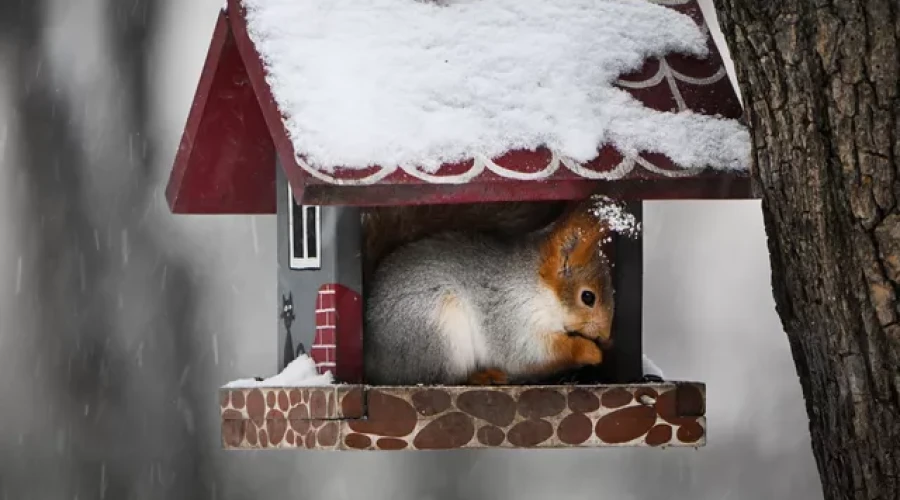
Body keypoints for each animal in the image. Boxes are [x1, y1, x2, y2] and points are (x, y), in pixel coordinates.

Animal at [362, 199, 616, 386]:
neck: (539, 290)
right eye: (588, 297)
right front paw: (589, 351)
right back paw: (483, 376)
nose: (605, 335)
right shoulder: (509, 314)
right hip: (437, 335)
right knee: (442, 378)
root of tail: (373, 359)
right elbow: (527, 353)